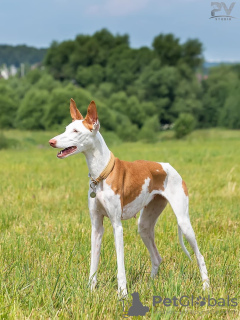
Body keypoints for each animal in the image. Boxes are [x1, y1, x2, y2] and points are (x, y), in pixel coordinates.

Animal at [49, 99, 210, 296]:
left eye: (76, 131)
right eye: (66, 128)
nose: (51, 141)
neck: (102, 173)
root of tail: (168, 166)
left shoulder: (117, 226)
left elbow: (120, 265)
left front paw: (123, 293)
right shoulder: (96, 227)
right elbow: (93, 263)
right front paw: (90, 291)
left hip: (184, 222)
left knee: (200, 256)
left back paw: (206, 286)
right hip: (144, 226)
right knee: (157, 257)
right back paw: (150, 285)